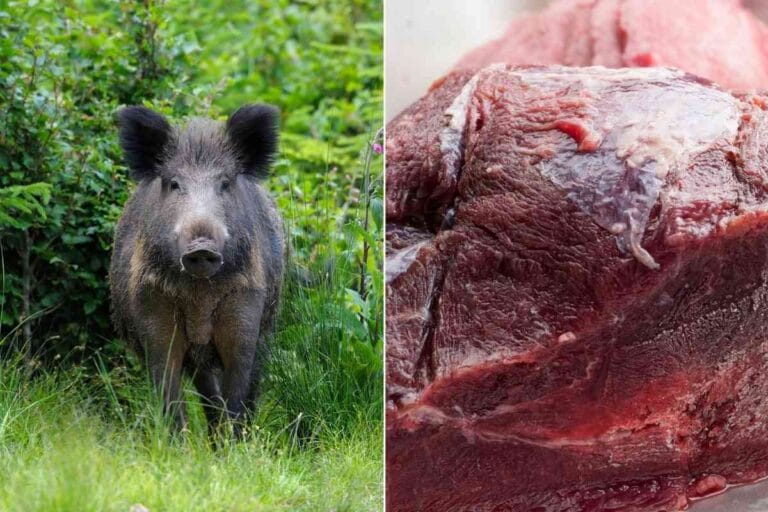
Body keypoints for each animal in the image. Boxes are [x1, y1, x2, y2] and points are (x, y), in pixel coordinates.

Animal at [109, 104, 285, 435]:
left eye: (225, 184)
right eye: (174, 183)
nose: (201, 245)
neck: (199, 298)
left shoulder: (246, 309)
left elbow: (238, 392)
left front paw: (235, 444)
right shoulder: (152, 315)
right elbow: (169, 394)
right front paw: (179, 444)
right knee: (207, 393)